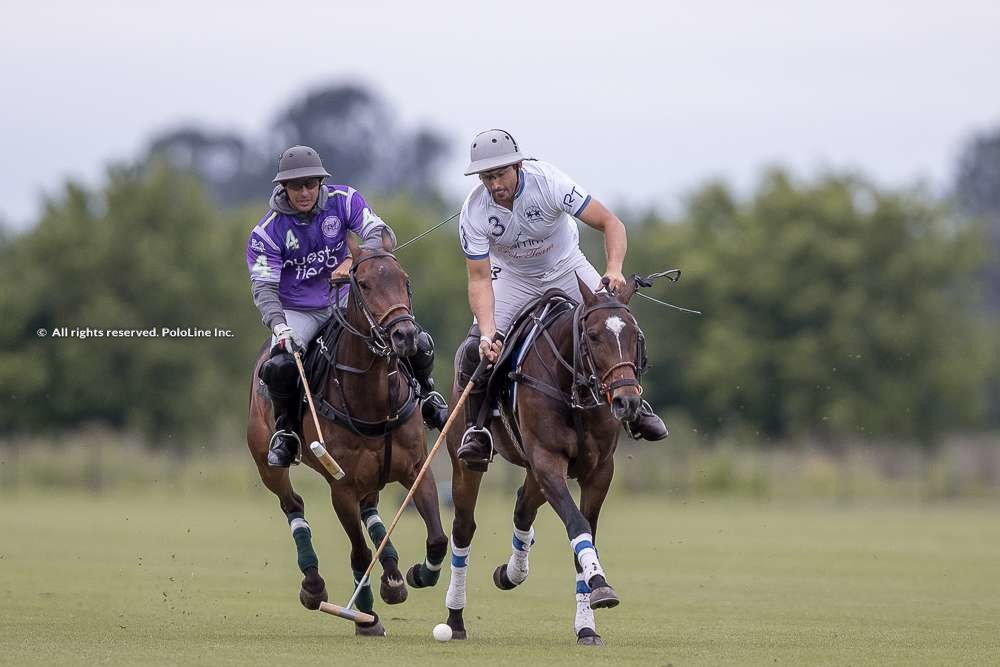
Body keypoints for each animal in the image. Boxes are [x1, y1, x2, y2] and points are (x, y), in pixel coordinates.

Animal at [248, 234, 452, 636]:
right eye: (366, 285)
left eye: (405, 280)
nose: (405, 335)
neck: (373, 398)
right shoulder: (340, 486)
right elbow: (358, 550)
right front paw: (365, 616)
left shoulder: (415, 469)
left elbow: (437, 538)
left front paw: (417, 574)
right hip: (267, 463)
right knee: (293, 504)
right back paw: (315, 584)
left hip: (373, 475)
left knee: (371, 511)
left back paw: (392, 574)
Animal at [442, 276, 644, 648]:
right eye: (593, 336)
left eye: (634, 335)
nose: (627, 402)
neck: (576, 389)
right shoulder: (547, 460)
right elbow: (577, 524)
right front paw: (601, 585)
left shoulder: (600, 471)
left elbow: (584, 532)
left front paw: (588, 626)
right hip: (467, 463)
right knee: (463, 528)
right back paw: (455, 618)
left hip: (534, 471)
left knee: (523, 506)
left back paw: (511, 573)